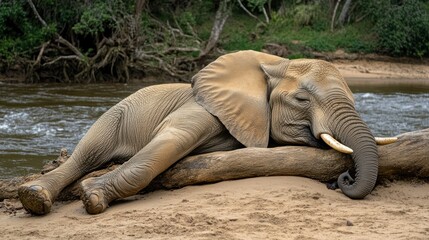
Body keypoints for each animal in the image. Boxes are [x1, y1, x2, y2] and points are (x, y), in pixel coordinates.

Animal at [19, 49, 394, 215]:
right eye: (302, 99)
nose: (343, 179)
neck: (273, 63)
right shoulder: (205, 107)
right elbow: (167, 144)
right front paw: (93, 197)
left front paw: (93, 194)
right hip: (115, 114)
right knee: (88, 154)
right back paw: (35, 197)